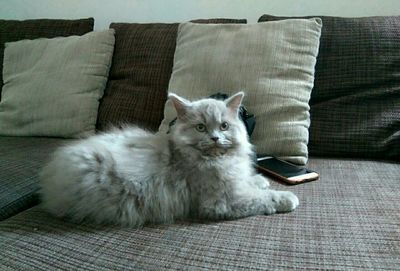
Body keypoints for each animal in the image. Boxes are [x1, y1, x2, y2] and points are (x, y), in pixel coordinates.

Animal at [40, 93, 298, 227]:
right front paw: (287, 198)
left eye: (224, 126)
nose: (215, 137)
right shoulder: (223, 202)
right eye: (201, 127)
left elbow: (251, 182)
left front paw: (260, 180)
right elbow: (263, 198)